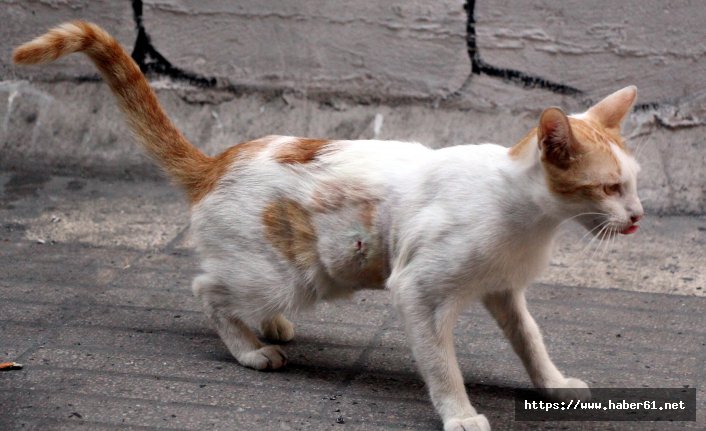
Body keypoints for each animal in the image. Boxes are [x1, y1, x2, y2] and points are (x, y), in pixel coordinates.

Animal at [13, 22, 640, 431]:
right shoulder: (416, 290)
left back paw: (268, 327)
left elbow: (530, 340)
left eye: (635, 183)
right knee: (205, 287)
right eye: (609, 188)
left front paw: (553, 384)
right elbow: (442, 364)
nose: (636, 217)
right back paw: (250, 351)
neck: (525, 214)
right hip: (286, 276)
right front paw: (459, 414)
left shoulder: (504, 290)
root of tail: (217, 162)